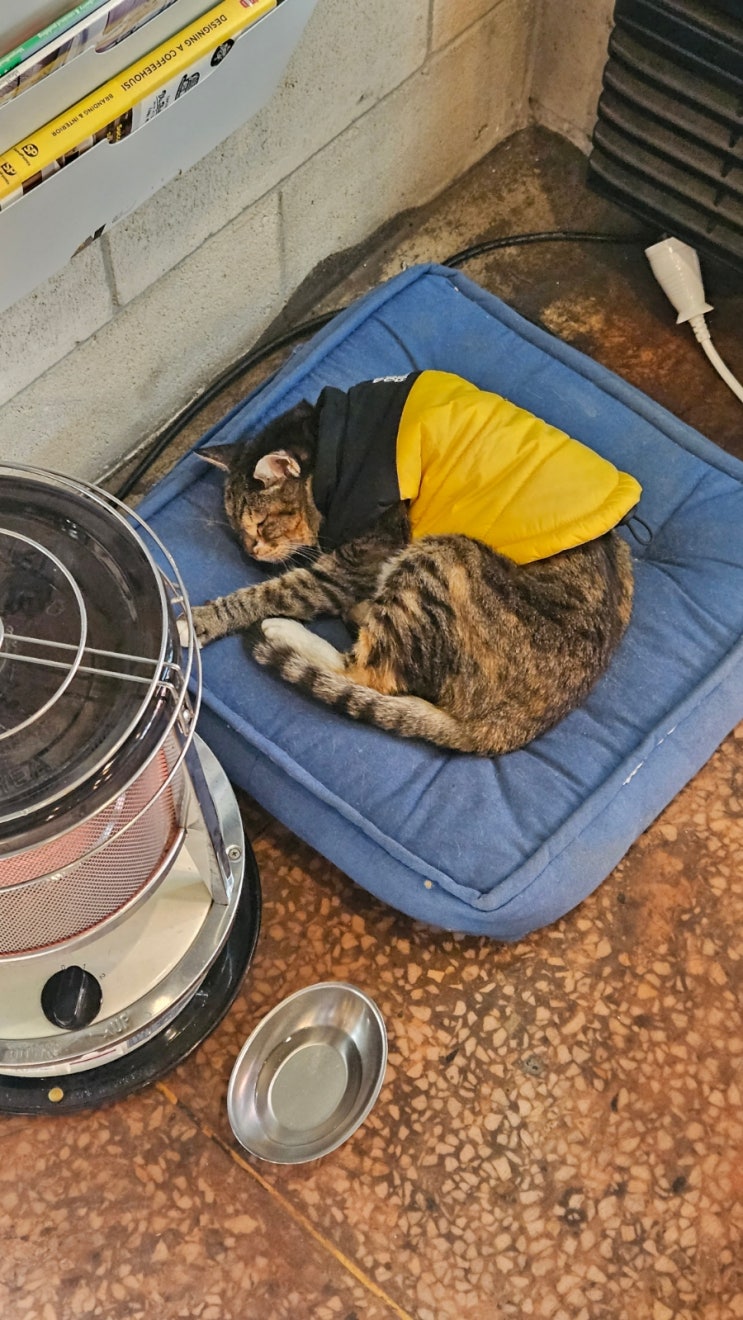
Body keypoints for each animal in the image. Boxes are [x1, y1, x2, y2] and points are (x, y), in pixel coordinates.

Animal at [188, 373, 637, 756]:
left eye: (261, 524)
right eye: (237, 528)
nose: (250, 551)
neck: (334, 440)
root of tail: (502, 731)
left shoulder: (359, 557)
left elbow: (274, 592)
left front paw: (202, 620)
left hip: (442, 556)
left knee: (368, 673)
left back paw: (283, 629)